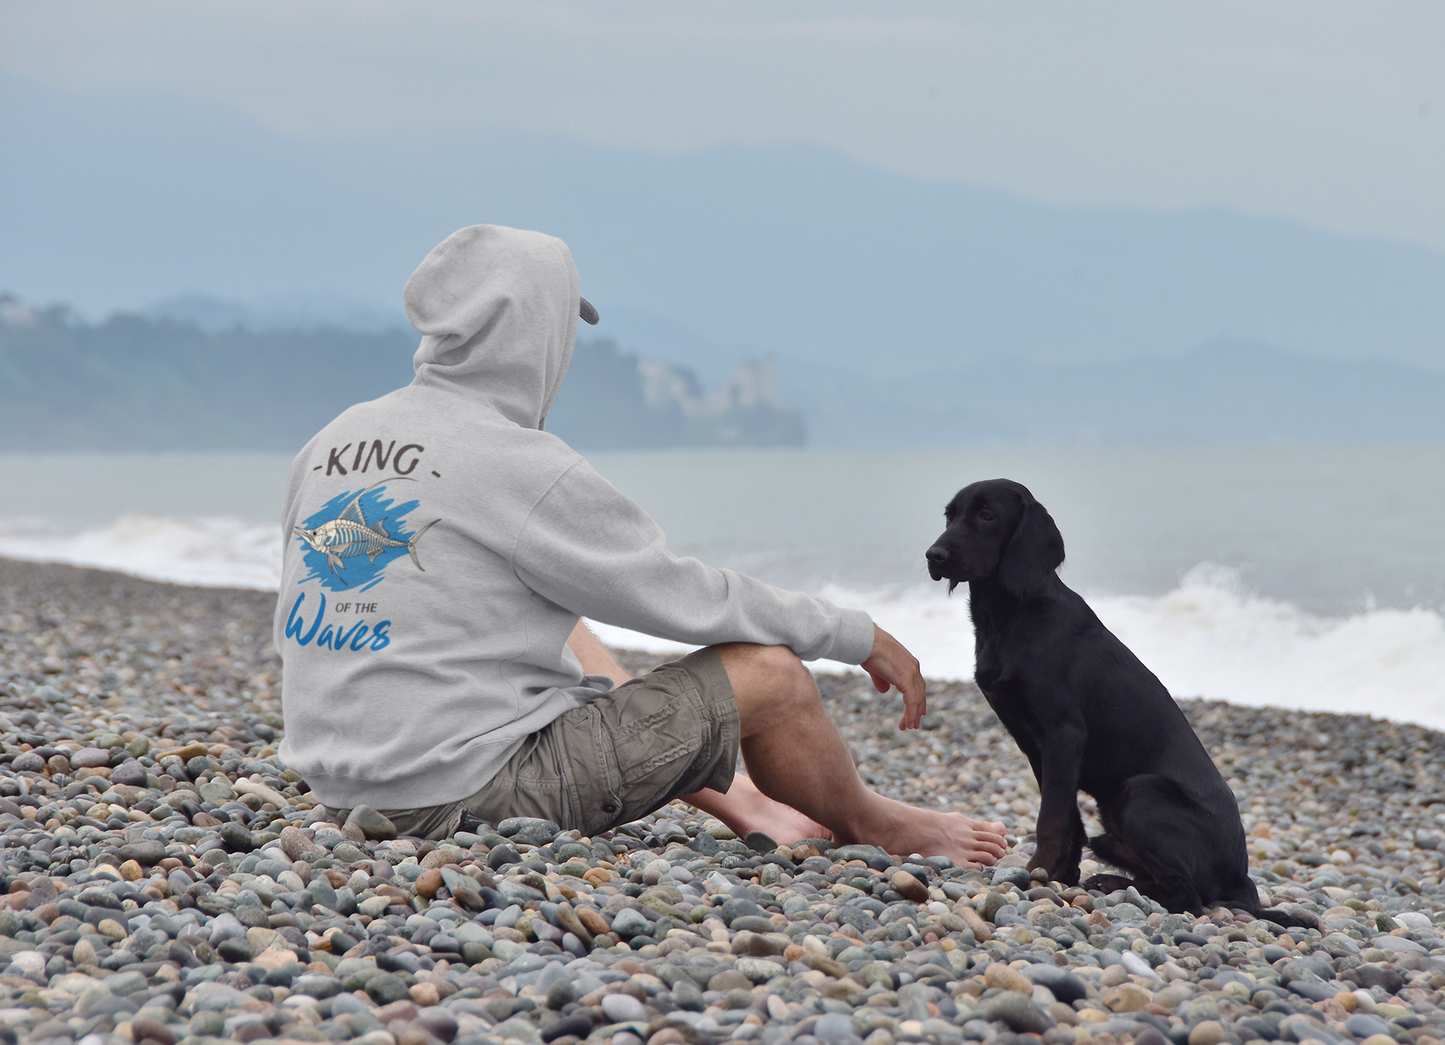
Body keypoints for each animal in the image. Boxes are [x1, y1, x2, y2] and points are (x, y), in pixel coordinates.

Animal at [924, 476, 1312, 925]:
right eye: (949, 516)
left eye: (987, 515)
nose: (933, 555)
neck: (1010, 617)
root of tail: (1241, 876)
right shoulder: (1036, 744)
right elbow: (1067, 817)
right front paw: (1063, 874)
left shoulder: (1063, 736)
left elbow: (1051, 817)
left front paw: (1040, 871)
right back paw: (1111, 882)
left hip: (1139, 791)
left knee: (1189, 896)